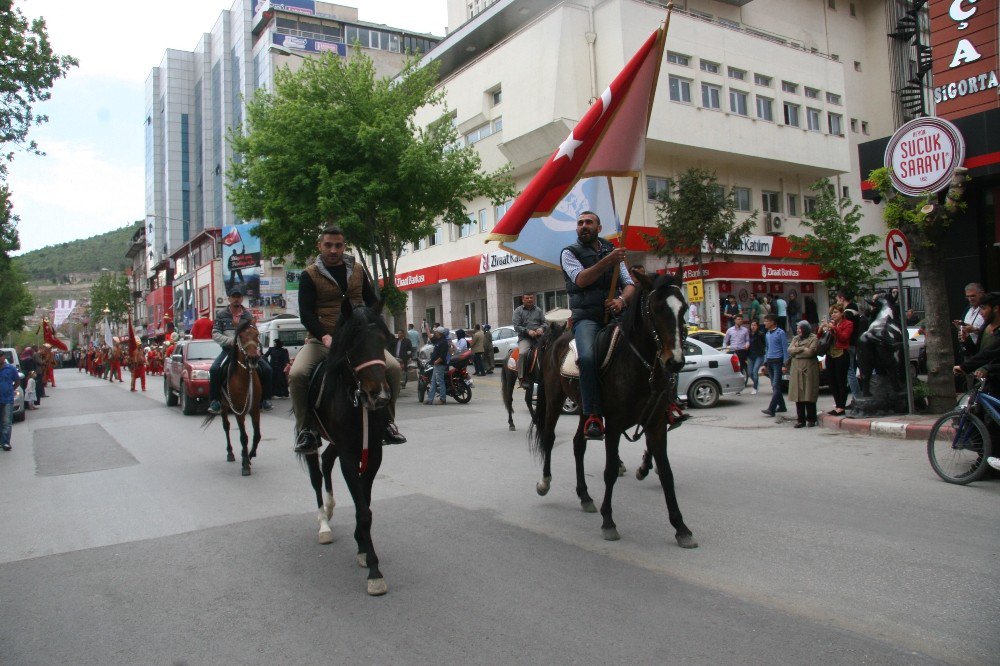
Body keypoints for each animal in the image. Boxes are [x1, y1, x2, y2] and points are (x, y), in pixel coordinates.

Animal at [204, 320, 264, 474]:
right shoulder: (239, 411)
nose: (253, 358)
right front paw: (245, 464)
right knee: (226, 426)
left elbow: (257, 435)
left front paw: (250, 454)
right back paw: (230, 453)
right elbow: (244, 437)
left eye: (257, 334)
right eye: (241, 336)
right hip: (224, 406)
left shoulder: (255, 409)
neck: (245, 377)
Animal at [298, 298, 392, 592]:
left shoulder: (373, 453)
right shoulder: (350, 456)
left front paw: (361, 546)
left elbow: (366, 504)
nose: (379, 395)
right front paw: (374, 570)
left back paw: (330, 507)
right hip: (314, 439)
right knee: (316, 475)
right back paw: (323, 524)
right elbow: (363, 510)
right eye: (354, 343)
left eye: (383, 340)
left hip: (338, 443)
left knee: (327, 461)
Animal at [532, 272, 696, 548]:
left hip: (586, 408)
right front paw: (608, 521)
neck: (639, 365)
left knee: (578, 443)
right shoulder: (615, 424)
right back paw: (545, 482)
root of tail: (557, 338)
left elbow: (666, 472)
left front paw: (681, 526)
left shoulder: (655, 423)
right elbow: (609, 471)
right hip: (554, 399)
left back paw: (585, 495)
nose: (674, 361)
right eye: (655, 309)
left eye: (682, 308)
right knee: (549, 437)